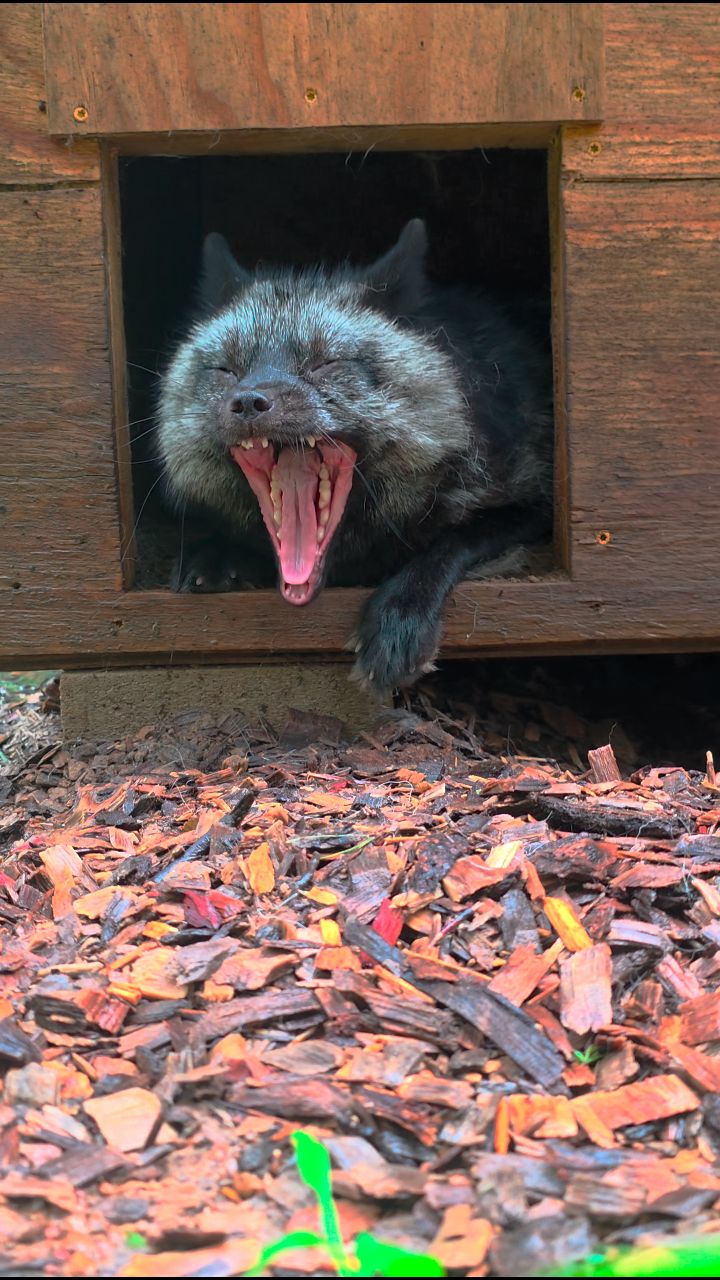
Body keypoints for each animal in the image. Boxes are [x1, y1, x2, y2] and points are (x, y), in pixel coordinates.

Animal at [157, 219, 552, 692]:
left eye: (326, 363)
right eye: (226, 370)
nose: (249, 401)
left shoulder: (533, 502)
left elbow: (456, 540)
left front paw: (401, 614)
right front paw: (217, 552)